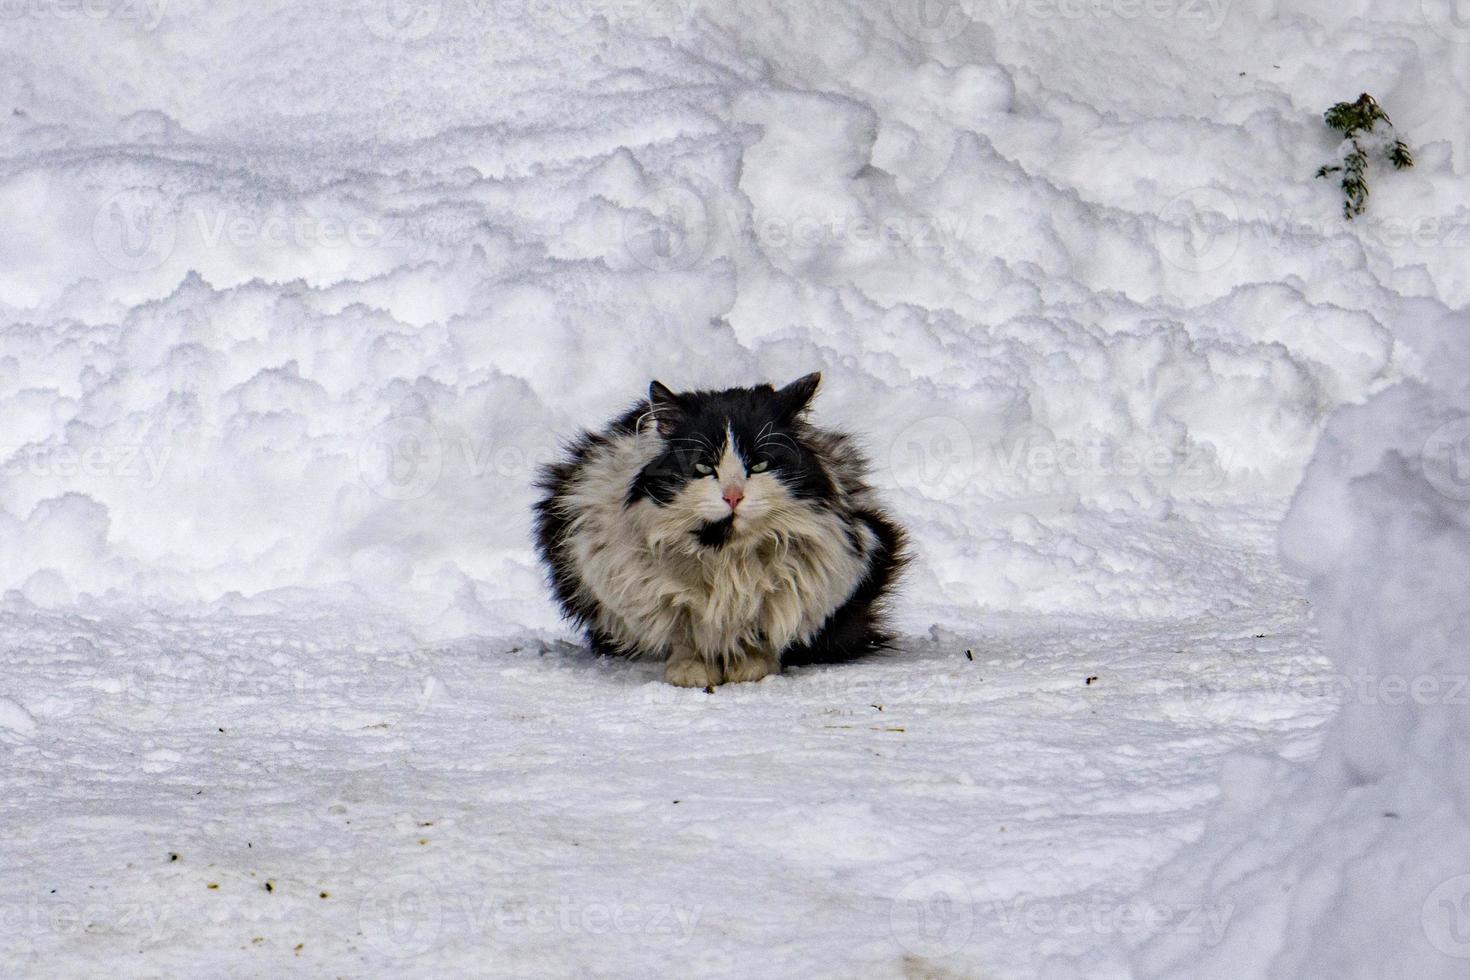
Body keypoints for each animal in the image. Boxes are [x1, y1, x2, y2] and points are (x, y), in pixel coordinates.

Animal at [535, 373, 905, 690]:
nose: (733, 495)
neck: (726, 554)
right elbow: (683, 630)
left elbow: (765, 627)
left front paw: (750, 666)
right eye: (702, 467)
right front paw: (691, 671)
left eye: (759, 465)